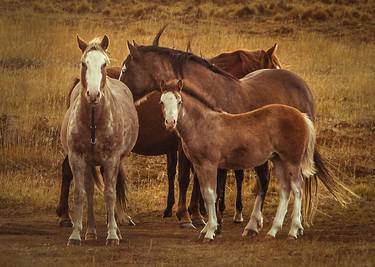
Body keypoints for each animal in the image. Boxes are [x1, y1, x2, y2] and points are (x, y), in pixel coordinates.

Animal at [56, 27, 282, 228]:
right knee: (68, 170)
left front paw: (197, 212)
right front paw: (188, 215)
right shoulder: (184, 147)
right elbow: (185, 178)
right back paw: (66, 215)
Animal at [159, 79, 320, 241]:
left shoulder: (209, 165)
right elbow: (205, 194)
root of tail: (302, 116)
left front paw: (210, 232)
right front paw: (206, 229)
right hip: (278, 160)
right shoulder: (198, 165)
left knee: (297, 188)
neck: (204, 124)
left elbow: (211, 195)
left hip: (292, 161)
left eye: (179, 101)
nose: (170, 122)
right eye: (161, 102)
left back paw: (293, 230)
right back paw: (273, 231)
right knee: (285, 189)